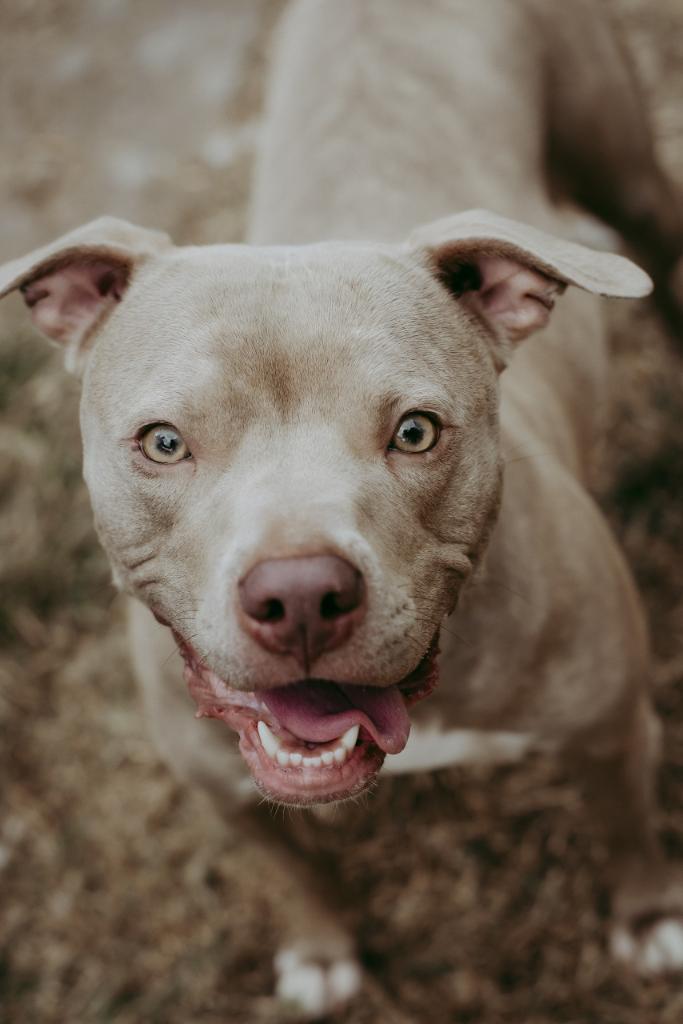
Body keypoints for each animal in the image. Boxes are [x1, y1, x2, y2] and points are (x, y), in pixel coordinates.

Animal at [3, 0, 683, 1015]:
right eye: (163, 442)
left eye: (415, 431)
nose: (298, 596)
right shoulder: (221, 788)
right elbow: (290, 870)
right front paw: (322, 949)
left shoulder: (611, 728)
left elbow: (623, 829)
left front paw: (646, 917)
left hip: (624, 167)